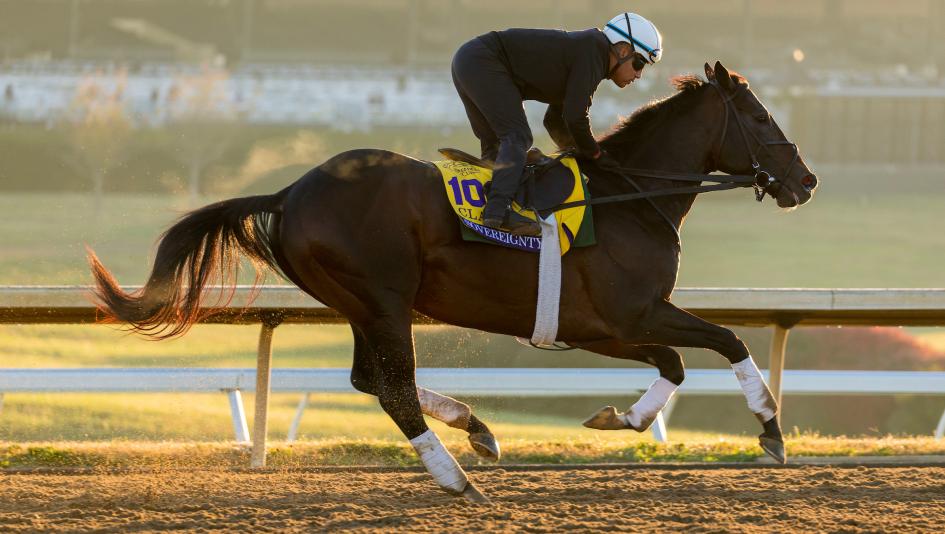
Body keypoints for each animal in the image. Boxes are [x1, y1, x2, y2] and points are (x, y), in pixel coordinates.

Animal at [87, 62, 818, 503]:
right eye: (760, 118)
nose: (805, 180)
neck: (630, 198)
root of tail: (291, 191)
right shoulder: (624, 316)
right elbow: (723, 343)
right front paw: (770, 432)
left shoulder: (598, 328)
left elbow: (675, 363)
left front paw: (621, 417)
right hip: (382, 298)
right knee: (394, 390)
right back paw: (457, 476)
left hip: (361, 302)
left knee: (371, 380)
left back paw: (476, 428)